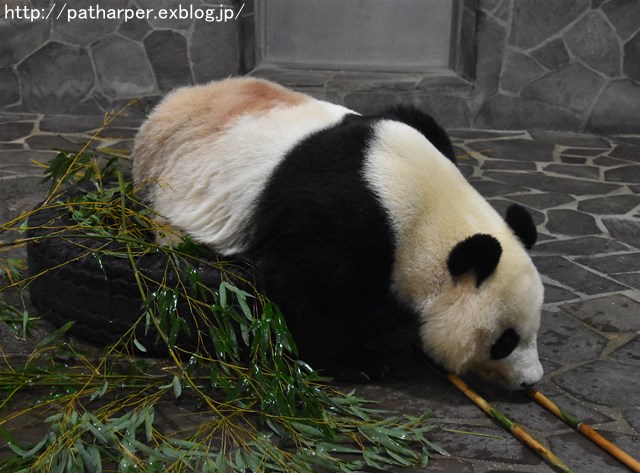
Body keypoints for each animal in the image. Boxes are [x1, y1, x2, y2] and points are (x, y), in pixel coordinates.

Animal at [135, 76, 544, 388]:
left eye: (535, 327)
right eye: (505, 341)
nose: (531, 381)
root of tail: (169, 103)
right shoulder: (344, 220)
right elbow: (306, 290)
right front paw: (358, 361)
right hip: (164, 187)